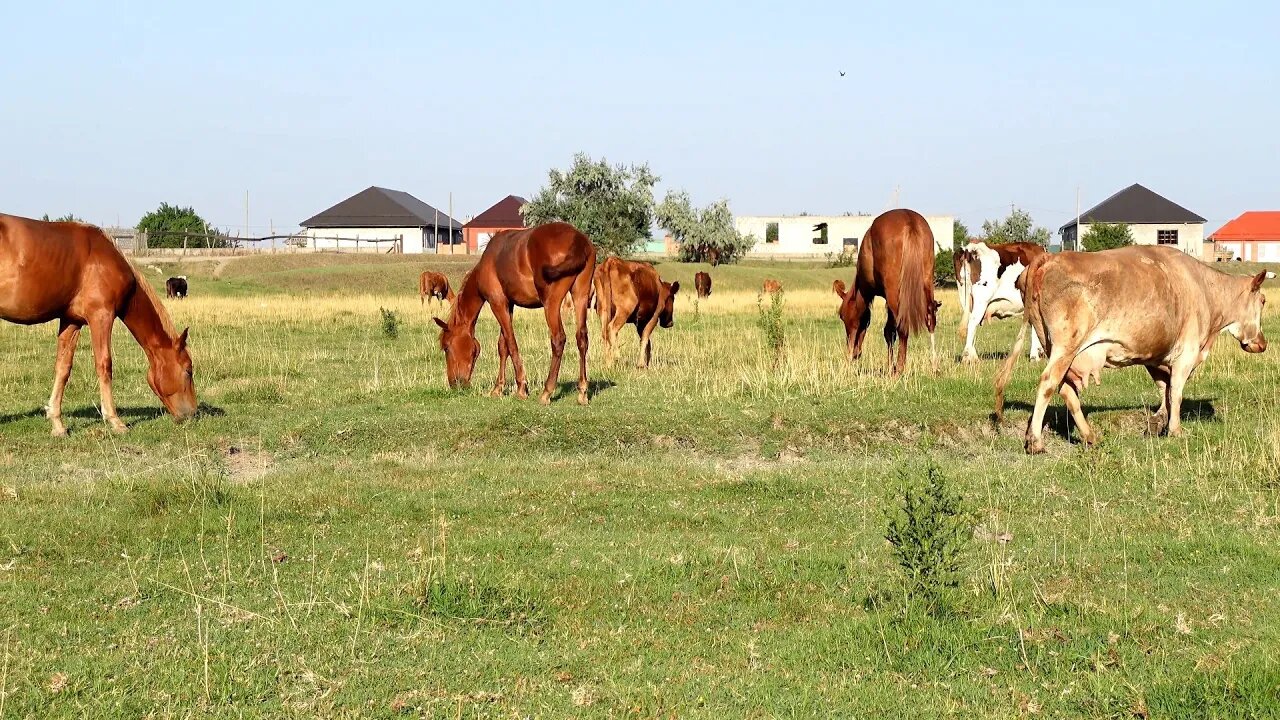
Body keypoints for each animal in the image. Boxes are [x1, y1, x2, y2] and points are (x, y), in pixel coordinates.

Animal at [0, 212, 197, 435]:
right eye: (188, 371)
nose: (193, 413)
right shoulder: (101, 316)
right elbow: (104, 365)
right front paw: (115, 420)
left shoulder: (71, 321)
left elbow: (63, 367)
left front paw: (57, 424)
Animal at [432, 221, 596, 404]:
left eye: (446, 348)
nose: (454, 383)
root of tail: (577, 240)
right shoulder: (508, 305)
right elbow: (502, 346)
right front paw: (498, 388)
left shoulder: (497, 303)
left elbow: (511, 343)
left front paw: (521, 387)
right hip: (580, 295)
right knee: (582, 338)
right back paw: (582, 392)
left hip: (551, 303)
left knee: (558, 339)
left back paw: (547, 391)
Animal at [829, 207, 942, 376]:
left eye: (842, 316)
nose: (854, 353)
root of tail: (910, 221)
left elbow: (889, 331)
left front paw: (891, 367)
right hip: (927, 283)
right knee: (930, 319)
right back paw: (934, 366)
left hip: (895, 294)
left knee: (903, 327)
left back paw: (899, 369)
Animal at [988, 243, 1269, 450]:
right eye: (1263, 300)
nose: (1262, 343)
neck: (1204, 290)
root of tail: (1047, 258)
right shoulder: (1186, 354)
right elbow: (1176, 393)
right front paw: (1175, 430)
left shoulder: (1156, 357)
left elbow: (1165, 391)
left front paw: (1157, 423)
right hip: (1064, 347)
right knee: (1048, 384)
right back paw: (1035, 441)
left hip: (1054, 346)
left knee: (1066, 391)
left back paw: (1090, 436)